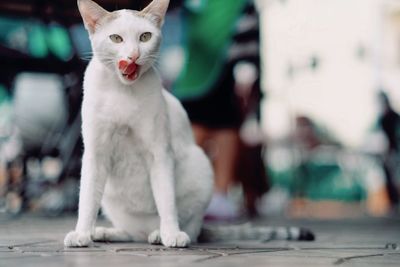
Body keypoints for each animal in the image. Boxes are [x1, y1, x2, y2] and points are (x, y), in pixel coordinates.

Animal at [64, 0, 314, 249]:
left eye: (145, 37)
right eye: (116, 38)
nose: (133, 56)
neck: (123, 91)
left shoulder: (160, 152)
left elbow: (166, 199)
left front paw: (172, 233)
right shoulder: (95, 154)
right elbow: (87, 199)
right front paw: (82, 233)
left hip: (200, 166)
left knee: (188, 230)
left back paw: (159, 233)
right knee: (132, 233)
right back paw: (105, 232)